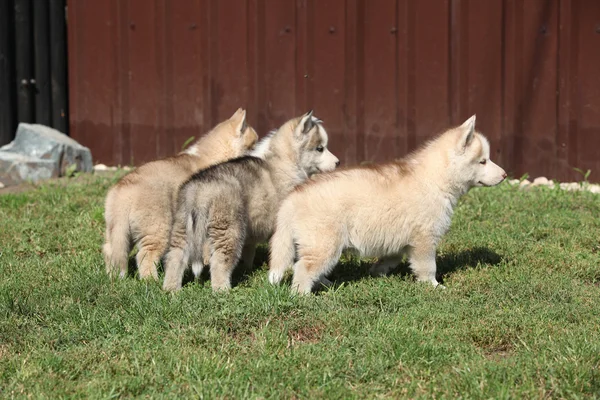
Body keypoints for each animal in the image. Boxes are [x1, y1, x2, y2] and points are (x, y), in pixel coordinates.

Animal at [103, 108, 258, 280]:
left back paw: (111, 277)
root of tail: (123, 191)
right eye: (254, 144)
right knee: (145, 255)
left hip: (120, 232)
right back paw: (151, 280)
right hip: (157, 230)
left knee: (110, 251)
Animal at [162, 111, 340, 292]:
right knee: (219, 262)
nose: (338, 162)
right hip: (228, 229)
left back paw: (171, 289)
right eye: (320, 148)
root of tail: (199, 189)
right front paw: (322, 280)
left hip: (182, 228)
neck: (285, 162)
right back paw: (222, 290)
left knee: (175, 257)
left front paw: (248, 267)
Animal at [268, 115, 506, 294]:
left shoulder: (400, 239)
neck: (436, 179)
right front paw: (434, 286)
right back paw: (302, 295)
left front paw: (377, 272)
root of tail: (293, 198)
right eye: (483, 161)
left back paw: (325, 283)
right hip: (324, 245)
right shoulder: (424, 239)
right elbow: (428, 266)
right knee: (302, 267)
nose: (504, 175)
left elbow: (391, 258)